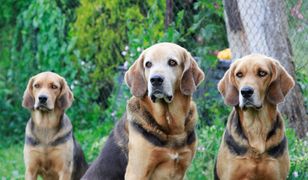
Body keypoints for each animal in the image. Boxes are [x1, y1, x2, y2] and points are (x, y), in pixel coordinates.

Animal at [82, 43, 205, 179]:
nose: (155, 79)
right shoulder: (137, 172)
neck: (171, 127)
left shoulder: (180, 170)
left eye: (172, 62)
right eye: (148, 64)